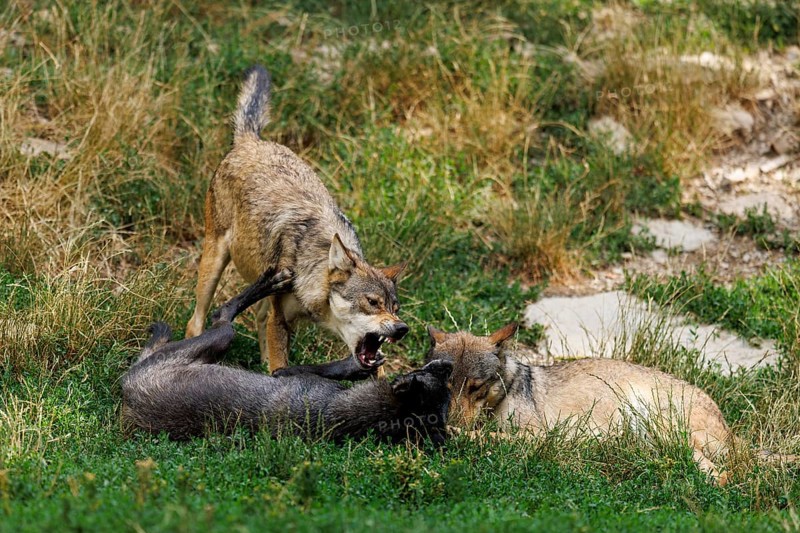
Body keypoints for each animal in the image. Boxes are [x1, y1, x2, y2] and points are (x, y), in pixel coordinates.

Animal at [124, 268, 452, 444]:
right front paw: (359, 366)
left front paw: (353, 367)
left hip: (219, 338)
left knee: (222, 315)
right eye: (439, 377)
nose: (447, 364)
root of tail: (127, 392)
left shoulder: (285, 374)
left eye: (428, 374)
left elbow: (319, 367)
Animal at [185, 65, 408, 374]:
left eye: (395, 308)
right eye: (372, 302)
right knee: (196, 321)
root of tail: (252, 140)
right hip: (213, 263)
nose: (402, 328)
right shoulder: (281, 320)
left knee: (258, 318)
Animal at [427, 323, 797, 486]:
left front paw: (457, 434)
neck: (508, 392)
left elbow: (488, 437)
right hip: (652, 438)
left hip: (666, 428)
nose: (449, 419)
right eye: (446, 387)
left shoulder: (537, 437)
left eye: (476, 387)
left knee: (726, 473)